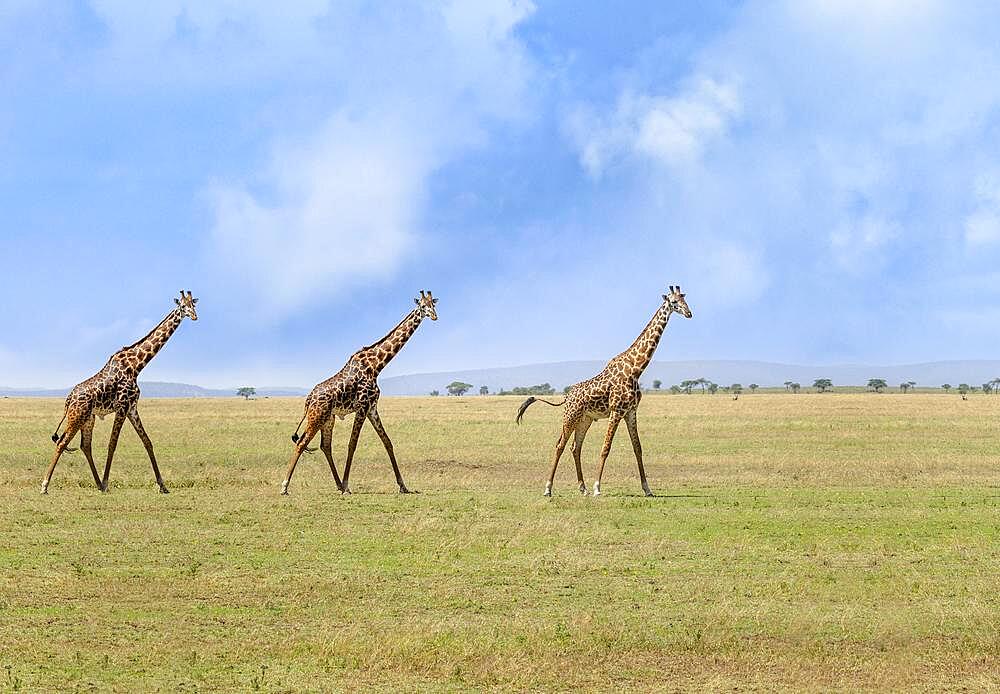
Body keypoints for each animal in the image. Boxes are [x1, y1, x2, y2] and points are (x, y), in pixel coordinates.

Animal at [42, 290, 198, 498]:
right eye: (182, 306)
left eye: (193, 304)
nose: (194, 316)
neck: (137, 366)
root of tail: (68, 400)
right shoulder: (122, 406)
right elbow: (112, 444)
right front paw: (107, 482)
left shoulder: (132, 407)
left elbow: (147, 442)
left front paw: (163, 486)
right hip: (77, 416)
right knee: (61, 443)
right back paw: (45, 485)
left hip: (88, 418)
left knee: (85, 445)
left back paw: (97, 484)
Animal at [282, 290, 438, 498]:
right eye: (422, 306)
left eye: (433, 304)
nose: (434, 316)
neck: (376, 365)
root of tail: (308, 400)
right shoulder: (362, 407)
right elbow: (352, 444)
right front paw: (348, 485)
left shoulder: (372, 408)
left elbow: (387, 442)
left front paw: (403, 486)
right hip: (317, 416)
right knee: (301, 443)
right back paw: (285, 486)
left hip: (328, 418)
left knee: (325, 446)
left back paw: (337, 485)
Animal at [512, 286, 692, 498]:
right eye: (673, 302)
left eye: (684, 298)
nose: (689, 313)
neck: (636, 369)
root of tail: (567, 396)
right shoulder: (616, 410)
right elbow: (606, 448)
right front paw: (597, 487)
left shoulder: (631, 412)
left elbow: (638, 448)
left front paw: (647, 489)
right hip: (570, 417)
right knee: (560, 445)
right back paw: (548, 488)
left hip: (585, 419)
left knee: (575, 447)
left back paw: (582, 488)